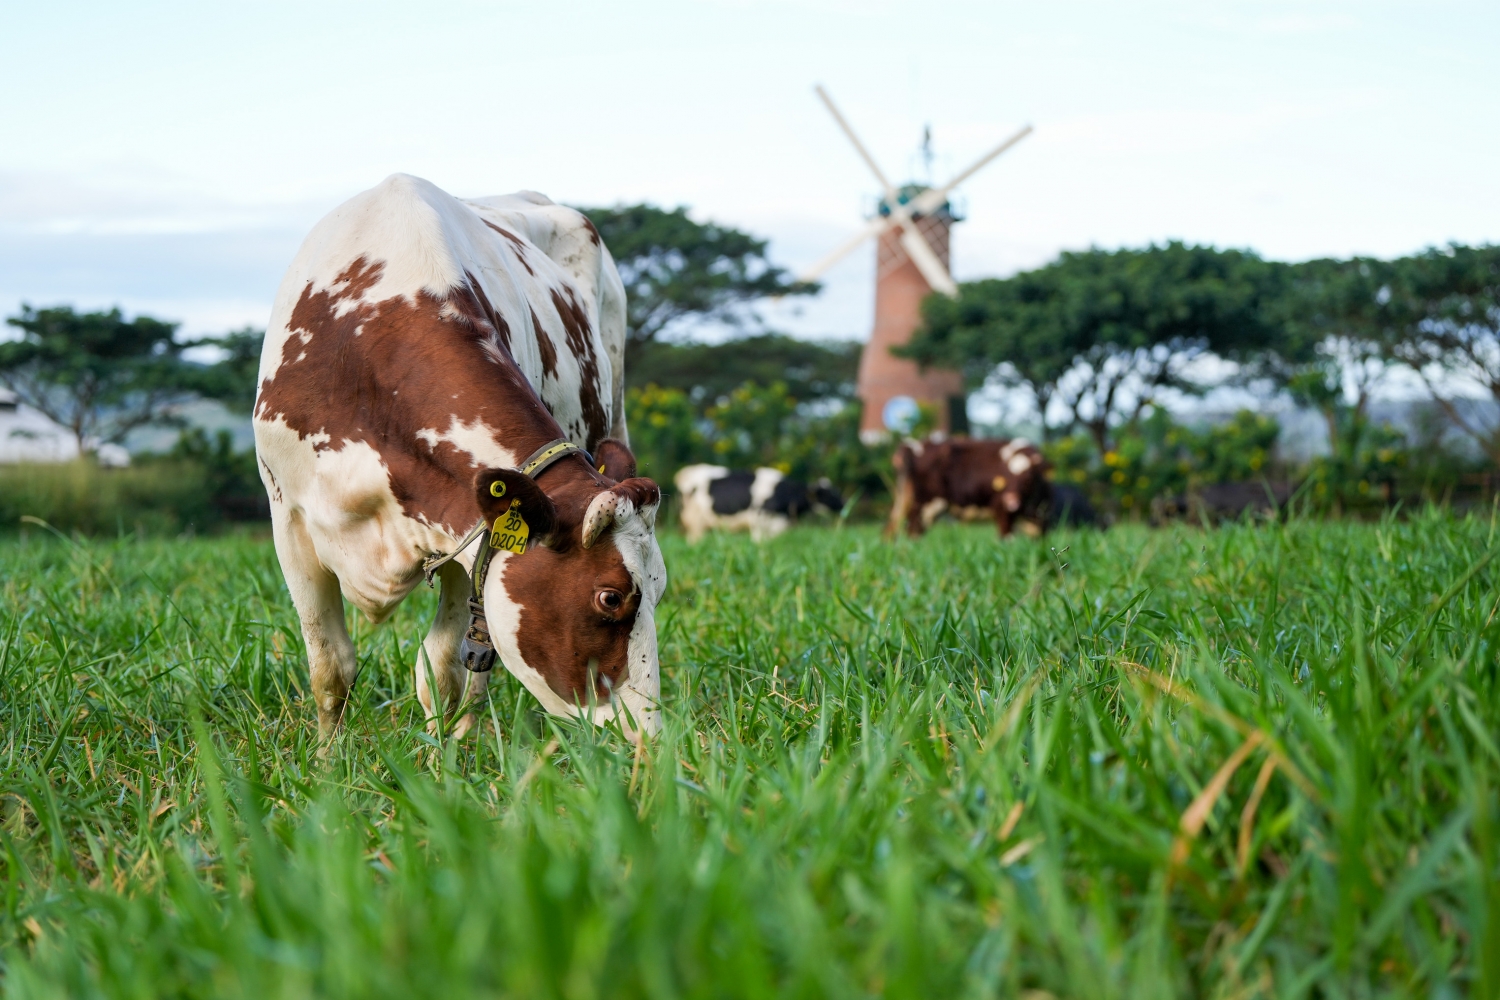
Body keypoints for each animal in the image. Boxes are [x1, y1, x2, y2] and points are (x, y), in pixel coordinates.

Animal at [258, 172, 669, 740]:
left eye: (659, 591)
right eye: (609, 597)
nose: (649, 737)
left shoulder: (463, 534)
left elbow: (444, 668)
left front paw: (443, 756)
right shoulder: (289, 519)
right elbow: (330, 667)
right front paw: (326, 758)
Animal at [888, 434, 1056, 536]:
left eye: (1027, 478)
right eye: (1005, 478)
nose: (1010, 500)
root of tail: (912, 445)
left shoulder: (1041, 520)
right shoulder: (1001, 510)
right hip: (925, 504)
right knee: (912, 530)